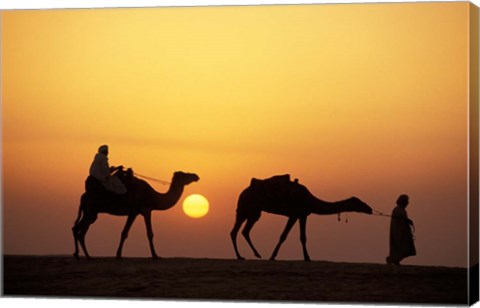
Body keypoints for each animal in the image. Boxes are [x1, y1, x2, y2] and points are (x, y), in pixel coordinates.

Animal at [71, 170, 199, 258]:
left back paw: (79, 255)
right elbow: (131, 233)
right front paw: (155, 255)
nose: (196, 176)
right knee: (80, 231)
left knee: (77, 228)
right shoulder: (139, 211)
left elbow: (146, 233)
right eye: (184, 174)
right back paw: (87, 256)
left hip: (91, 213)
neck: (154, 197)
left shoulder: (142, 211)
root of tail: (83, 197)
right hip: (91, 210)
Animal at [231, 176, 374, 260]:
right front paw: (273, 256)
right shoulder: (295, 214)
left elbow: (302, 237)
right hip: (246, 208)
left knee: (242, 231)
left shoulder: (302, 215)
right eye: (358, 202)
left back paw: (254, 254)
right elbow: (284, 236)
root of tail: (242, 192)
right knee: (236, 231)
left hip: (253, 211)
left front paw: (306, 257)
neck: (310, 200)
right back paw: (241, 256)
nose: (370, 209)